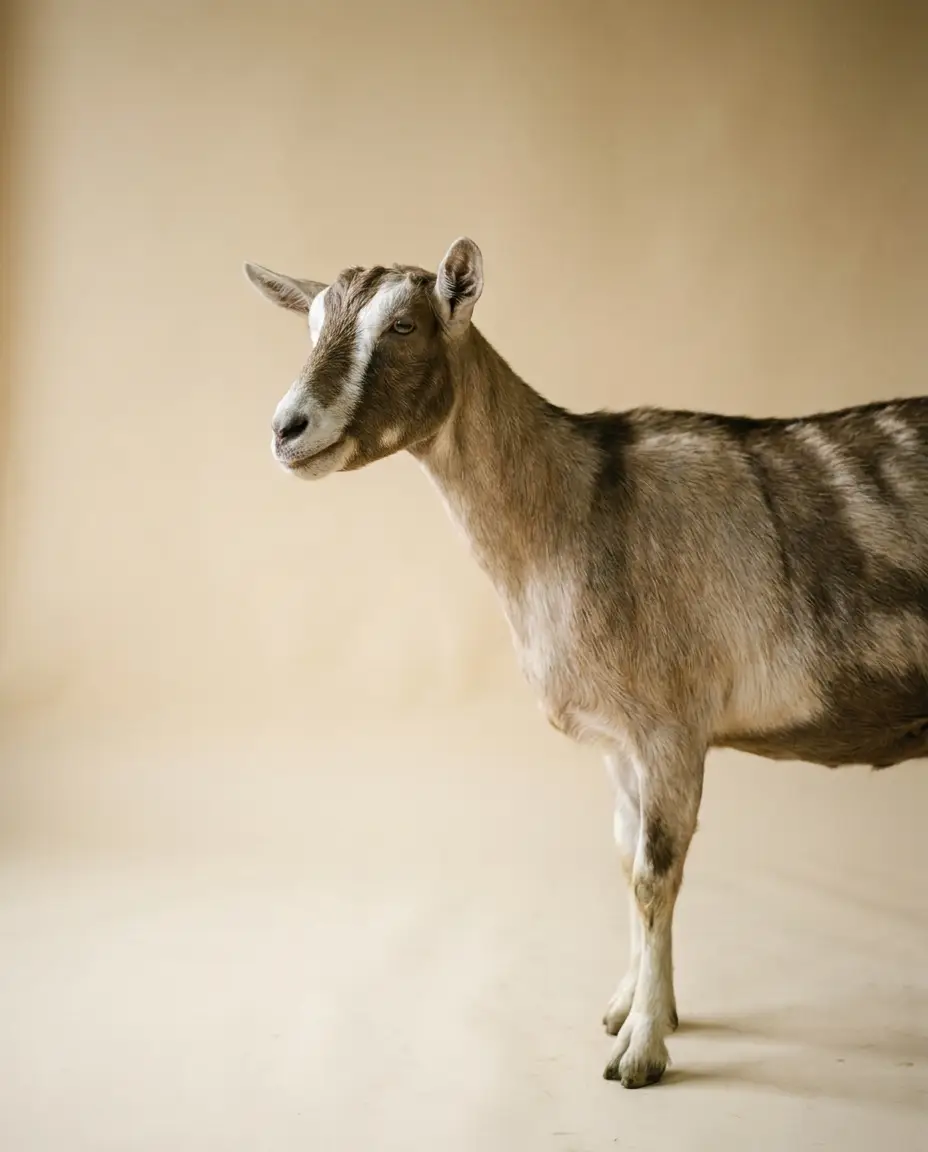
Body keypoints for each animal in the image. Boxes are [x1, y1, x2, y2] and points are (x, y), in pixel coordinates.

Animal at [244, 237, 928, 1088]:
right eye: (309, 323)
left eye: (403, 324)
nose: (287, 428)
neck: (580, 510)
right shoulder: (619, 742)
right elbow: (625, 858)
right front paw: (633, 1007)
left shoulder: (673, 728)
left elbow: (654, 874)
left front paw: (640, 1051)